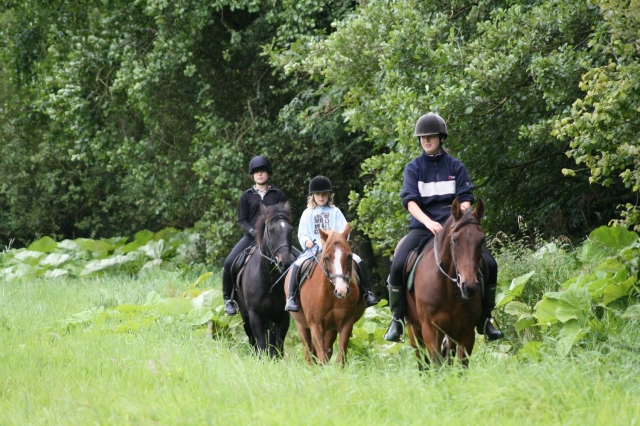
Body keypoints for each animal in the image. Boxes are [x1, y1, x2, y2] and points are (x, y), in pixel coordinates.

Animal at [284, 223, 364, 366]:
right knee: (308, 351)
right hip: (301, 324)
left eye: (349, 256)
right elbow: (320, 354)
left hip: (331, 328)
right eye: (327, 257)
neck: (330, 295)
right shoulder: (315, 325)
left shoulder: (346, 323)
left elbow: (340, 355)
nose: (342, 291)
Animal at [404, 196, 484, 366]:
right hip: (414, 330)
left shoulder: (466, 332)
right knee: (422, 362)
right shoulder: (430, 330)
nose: (469, 287)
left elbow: (461, 365)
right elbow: (436, 364)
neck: (448, 289)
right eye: (454, 240)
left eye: (482, 240)